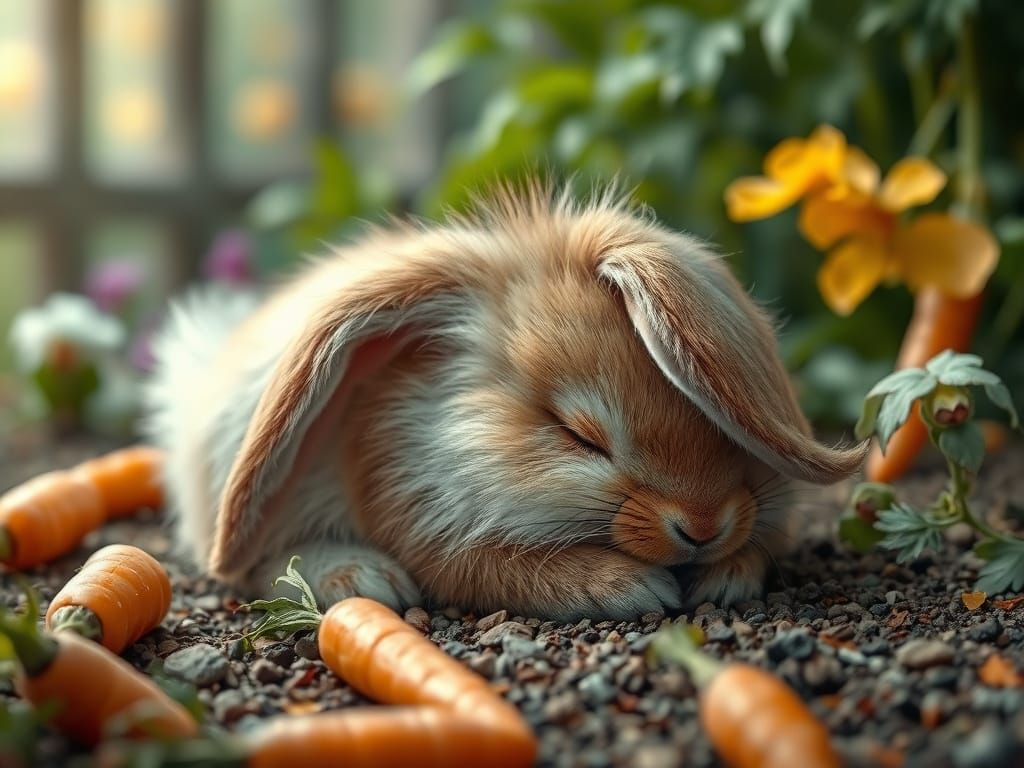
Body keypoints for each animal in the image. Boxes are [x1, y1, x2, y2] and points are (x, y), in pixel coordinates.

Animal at [145, 184, 866, 621]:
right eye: (578, 435)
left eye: (718, 426)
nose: (704, 525)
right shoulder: (417, 510)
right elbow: (498, 567)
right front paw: (626, 587)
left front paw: (727, 574)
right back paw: (358, 578)